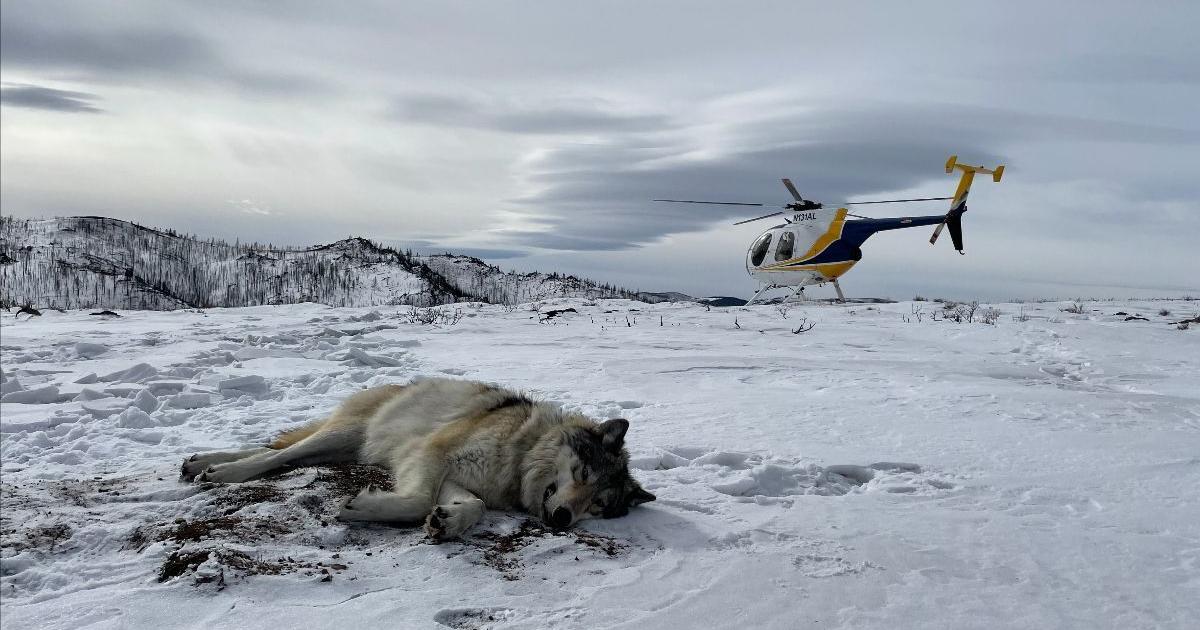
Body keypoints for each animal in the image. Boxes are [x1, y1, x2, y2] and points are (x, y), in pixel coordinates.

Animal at [180, 378, 655, 540]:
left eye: (598, 505)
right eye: (583, 472)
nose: (561, 519)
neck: (521, 452)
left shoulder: (458, 478)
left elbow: (472, 505)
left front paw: (448, 521)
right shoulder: (430, 453)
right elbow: (418, 499)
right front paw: (362, 508)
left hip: (343, 446)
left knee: (277, 452)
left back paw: (201, 462)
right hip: (347, 433)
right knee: (279, 453)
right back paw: (223, 470)